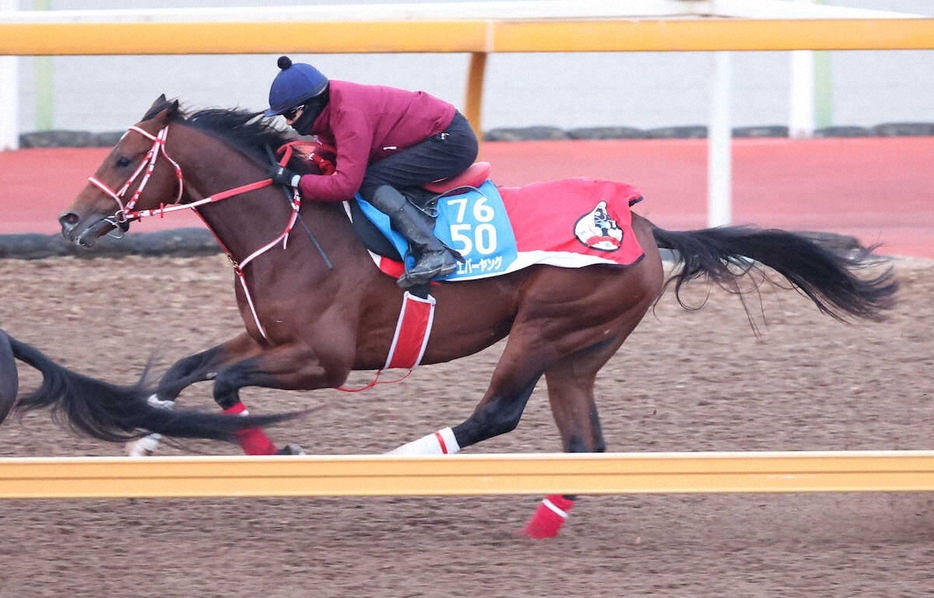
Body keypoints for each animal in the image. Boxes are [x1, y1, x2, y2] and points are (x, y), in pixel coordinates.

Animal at [54, 97, 896, 540]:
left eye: (125, 158)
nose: (69, 220)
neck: (290, 227)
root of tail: (637, 221)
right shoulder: (267, 336)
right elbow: (186, 369)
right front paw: (143, 442)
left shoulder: (322, 360)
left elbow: (227, 384)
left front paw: (273, 450)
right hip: (580, 349)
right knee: (585, 443)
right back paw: (543, 522)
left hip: (547, 327)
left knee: (498, 413)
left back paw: (403, 463)